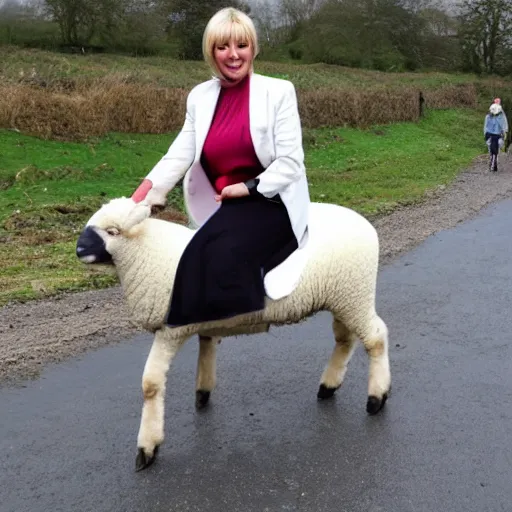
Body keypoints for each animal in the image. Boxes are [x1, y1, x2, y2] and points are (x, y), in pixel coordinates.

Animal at [76, 197, 390, 472]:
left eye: (113, 231)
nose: (78, 250)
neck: (150, 253)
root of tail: (366, 226)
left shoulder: (169, 331)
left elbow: (150, 384)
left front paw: (147, 448)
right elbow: (206, 348)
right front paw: (203, 393)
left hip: (353, 293)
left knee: (376, 338)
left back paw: (377, 397)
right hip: (344, 296)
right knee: (345, 339)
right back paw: (328, 386)